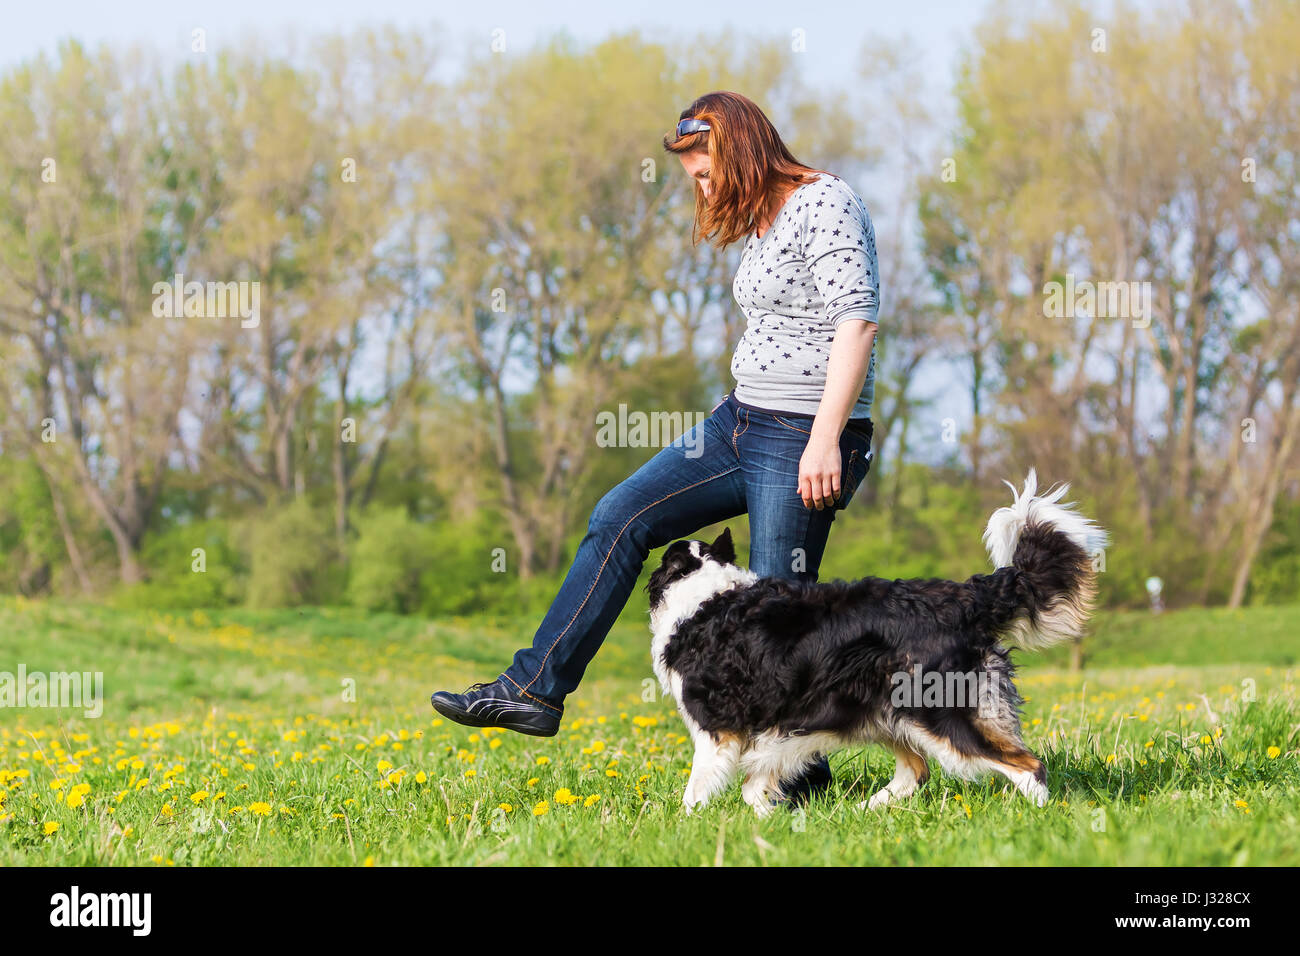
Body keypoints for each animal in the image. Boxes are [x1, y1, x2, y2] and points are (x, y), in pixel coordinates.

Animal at [647, 470, 1107, 816]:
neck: (704, 594)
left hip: (939, 713)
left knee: (1028, 766)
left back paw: (1039, 816)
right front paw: (769, 819)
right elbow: (756, 783)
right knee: (915, 772)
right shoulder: (782, 727)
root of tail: (965, 598)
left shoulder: (717, 729)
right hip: (886, 712)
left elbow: (699, 788)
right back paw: (858, 811)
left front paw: (685, 824)